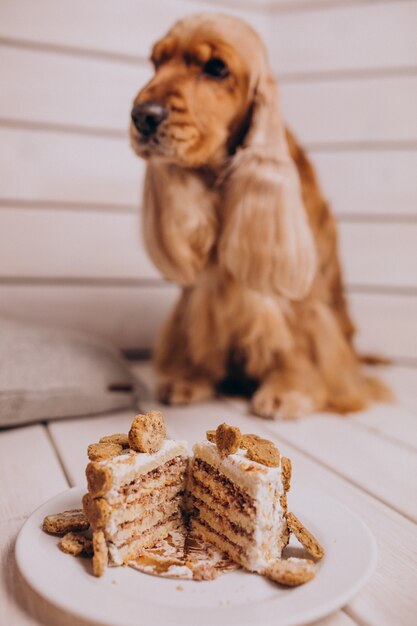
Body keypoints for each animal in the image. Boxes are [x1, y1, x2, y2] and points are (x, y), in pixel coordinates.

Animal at [128, 12, 388, 416]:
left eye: (216, 67)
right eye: (156, 62)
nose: (142, 116)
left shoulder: (300, 299)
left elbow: (298, 340)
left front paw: (288, 390)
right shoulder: (197, 295)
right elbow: (191, 332)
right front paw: (188, 378)